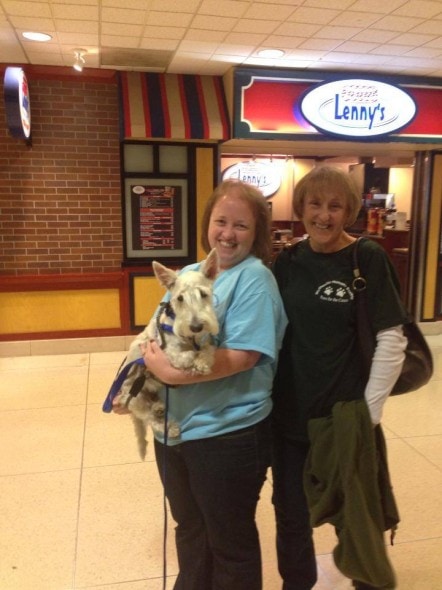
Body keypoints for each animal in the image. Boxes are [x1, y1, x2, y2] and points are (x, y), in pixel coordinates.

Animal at [115, 250, 218, 462]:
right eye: (180, 298)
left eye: (203, 294)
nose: (196, 326)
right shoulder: (167, 353)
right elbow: (186, 356)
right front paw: (194, 363)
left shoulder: (202, 342)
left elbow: (206, 349)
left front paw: (203, 362)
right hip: (134, 396)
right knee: (149, 418)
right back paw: (170, 428)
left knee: (154, 409)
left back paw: (159, 408)